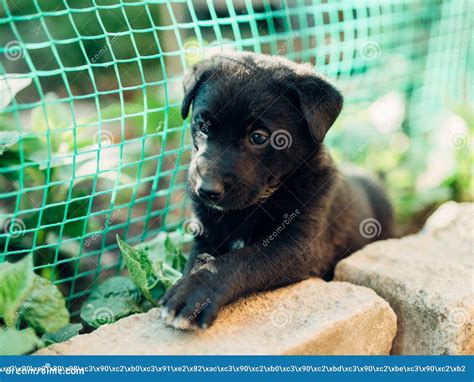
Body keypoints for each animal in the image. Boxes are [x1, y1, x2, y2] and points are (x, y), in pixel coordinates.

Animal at [161, 52, 394, 330]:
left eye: (259, 137)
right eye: (203, 126)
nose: (206, 190)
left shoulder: (298, 246)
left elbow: (239, 260)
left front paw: (194, 294)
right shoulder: (206, 235)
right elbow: (200, 259)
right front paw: (185, 284)